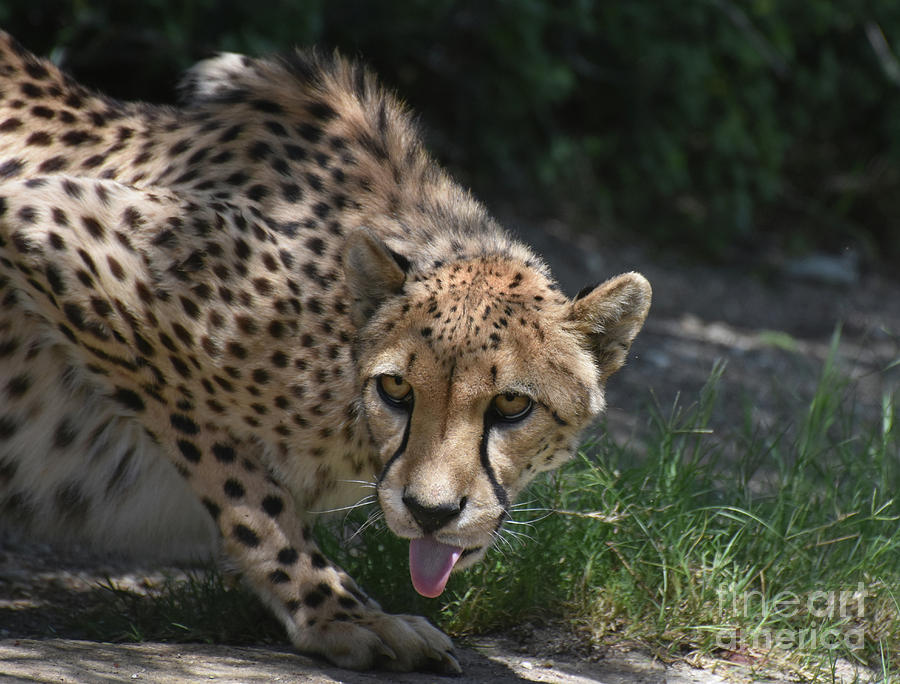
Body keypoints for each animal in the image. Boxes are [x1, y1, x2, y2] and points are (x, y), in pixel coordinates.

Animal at [0, 29, 652, 672]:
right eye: (396, 388)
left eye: (513, 405)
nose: (431, 513)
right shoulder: (46, 219)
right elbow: (245, 486)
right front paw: (340, 613)